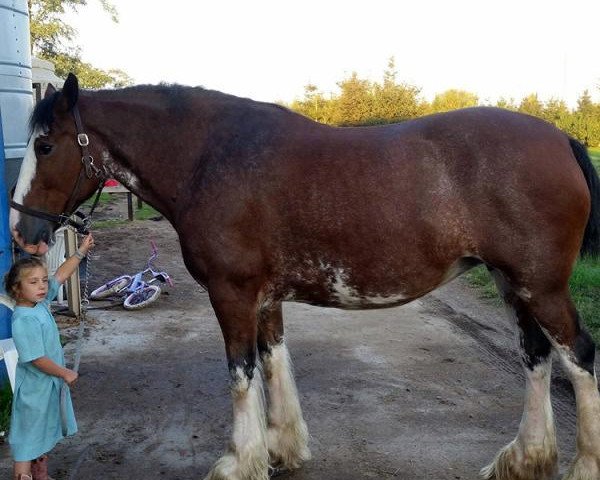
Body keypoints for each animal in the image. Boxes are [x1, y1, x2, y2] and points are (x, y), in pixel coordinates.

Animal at [8, 72, 600, 480]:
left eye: (46, 145)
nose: (21, 230)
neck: (210, 158)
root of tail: (561, 140)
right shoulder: (265, 298)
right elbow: (274, 364)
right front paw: (281, 450)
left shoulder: (232, 294)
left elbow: (242, 373)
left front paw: (239, 461)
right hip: (514, 284)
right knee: (537, 358)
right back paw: (525, 458)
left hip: (542, 288)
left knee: (579, 357)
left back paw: (579, 465)